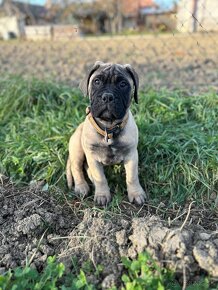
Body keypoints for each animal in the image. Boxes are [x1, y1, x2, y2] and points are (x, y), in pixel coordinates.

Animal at [65, 60, 146, 206]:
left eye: (123, 84)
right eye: (96, 81)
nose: (107, 96)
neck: (109, 127)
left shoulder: (131, 155)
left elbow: (132, 177)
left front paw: (136, 193)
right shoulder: (92, 157)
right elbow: (100, 177)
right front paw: (102, 195)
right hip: (77, 149)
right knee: (77, 167)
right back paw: (81, 186)